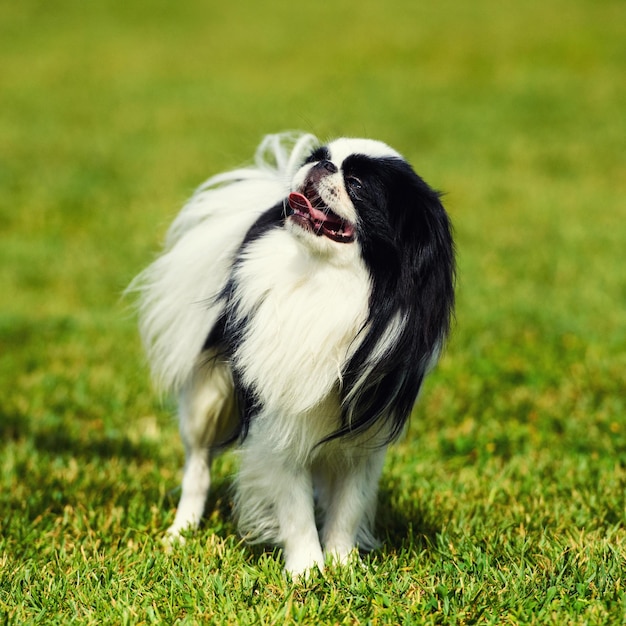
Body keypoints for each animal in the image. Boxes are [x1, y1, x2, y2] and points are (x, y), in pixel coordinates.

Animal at [132, 133, 454, 576]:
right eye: (320, 158)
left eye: (357, 185)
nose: (320, 166)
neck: (323, 284)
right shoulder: (278, 428)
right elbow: (295, 508)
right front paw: (307, 572)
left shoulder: (361, 439)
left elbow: (347, 508)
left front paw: (343, 565)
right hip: (207, 400)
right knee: (197, 465)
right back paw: (181, 532)